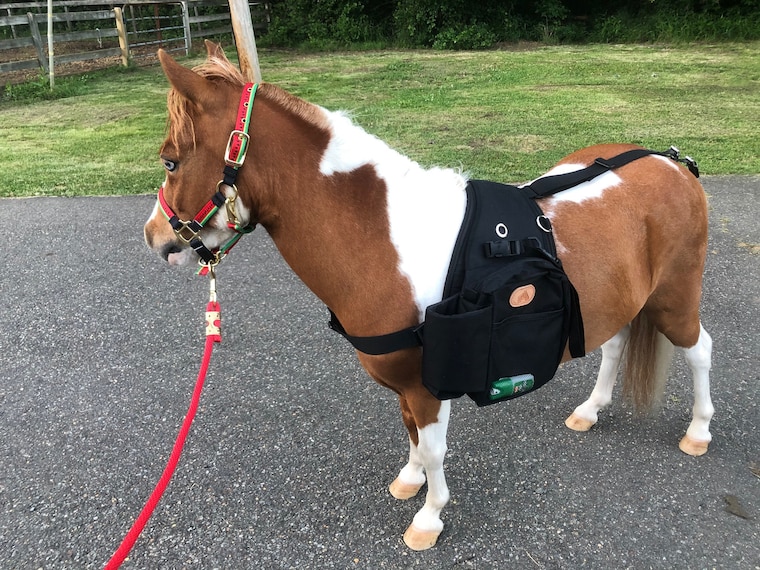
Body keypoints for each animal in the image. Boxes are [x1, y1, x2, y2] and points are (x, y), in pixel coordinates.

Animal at [144, 42, 713, 551]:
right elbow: (413, 435)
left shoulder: (427, 385)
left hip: (674, 299)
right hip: (626, 300)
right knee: (615, 345)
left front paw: (429, 518)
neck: (385, 238)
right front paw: (410, 480)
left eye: (171, 162)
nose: (155, 238)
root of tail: (670, 163)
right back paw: (591, 410)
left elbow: (436, 449)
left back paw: (699, 431)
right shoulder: (405, 385)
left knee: (699, 350)